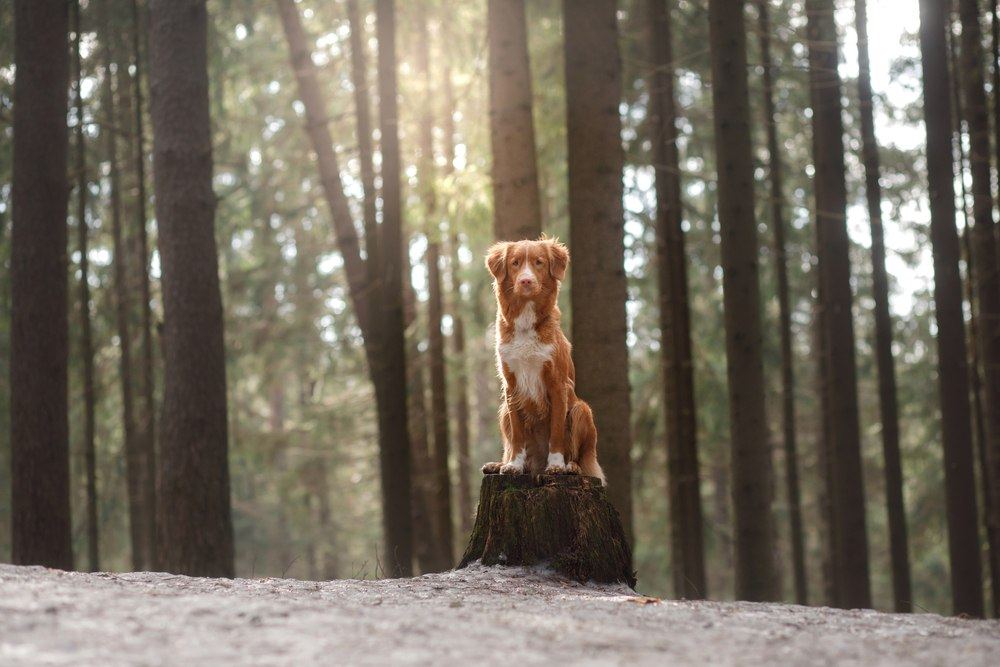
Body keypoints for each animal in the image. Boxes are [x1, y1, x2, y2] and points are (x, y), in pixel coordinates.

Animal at [480, 237, 604, 482]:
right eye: (515, 263)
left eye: (539, 262)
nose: (526, 281)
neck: (526, 320)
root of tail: (535, 465)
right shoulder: (511, 387)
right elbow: (517, 436)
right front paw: (513, 466)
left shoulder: (557, 383)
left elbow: (556, 430)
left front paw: (556, 465)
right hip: (503, 411)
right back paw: (501, 464)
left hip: (582, 410)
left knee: (578, 454)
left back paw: (571, 466)